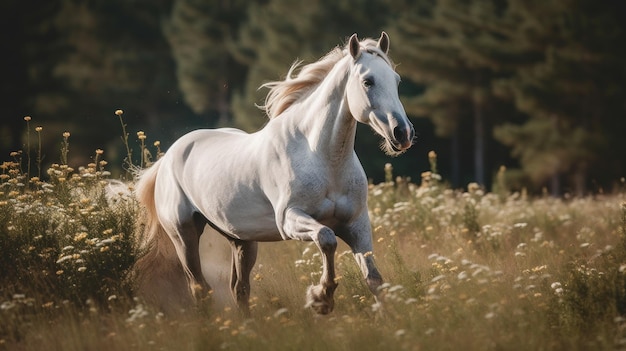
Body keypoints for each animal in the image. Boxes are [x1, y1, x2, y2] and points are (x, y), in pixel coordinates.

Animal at [134, 31, 412, 314]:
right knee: (199, 288)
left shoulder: (357, 224)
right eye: (368, 81)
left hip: (242, 240)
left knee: (240, 288)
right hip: (184, 234)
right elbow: (327, 238)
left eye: (397, 80)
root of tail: (168, 157)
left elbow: (374, 280)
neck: (322, 158)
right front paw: (321, 299)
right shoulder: (290, 219)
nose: (402, 133)